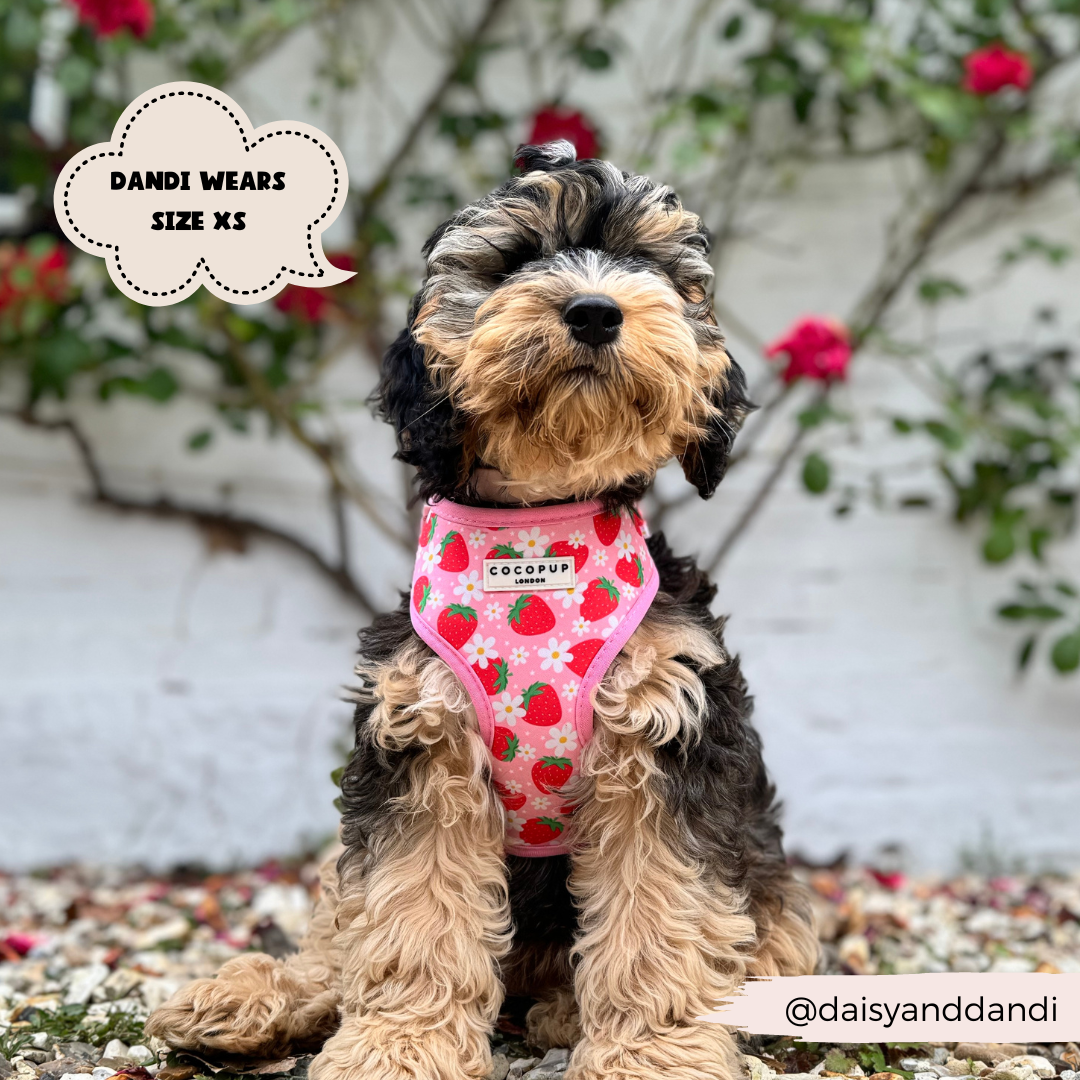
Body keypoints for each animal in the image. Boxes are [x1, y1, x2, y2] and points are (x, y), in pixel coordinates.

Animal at [145, 141, 816, 1080]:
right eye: (513, 261)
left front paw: (653, 1051)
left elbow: (663, 912)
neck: (536, 527)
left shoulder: (665, 739)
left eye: (647, 267)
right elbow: (408, 911)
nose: (596, 310)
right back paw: (251, 998)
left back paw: (564, 1012)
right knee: (340, 931)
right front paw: (399, 1044)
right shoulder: (421, 735)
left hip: (772, 900)